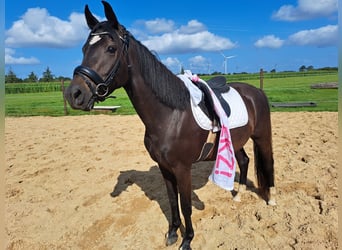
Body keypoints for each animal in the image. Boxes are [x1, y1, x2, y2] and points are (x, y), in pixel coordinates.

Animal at [65, 1, 276, 248]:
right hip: (235, 141)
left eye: (111, 48)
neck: (171, 116)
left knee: (268, 163)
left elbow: (185, 205)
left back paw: (271, 199)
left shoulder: (182, 169)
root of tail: (256, 92)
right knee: (243, 161)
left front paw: (188, 239)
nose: (74, 94)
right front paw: (173, 233)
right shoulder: (165, 168)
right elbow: (172, 201)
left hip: (262, 136)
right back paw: (238, 194)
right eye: (83, 49)